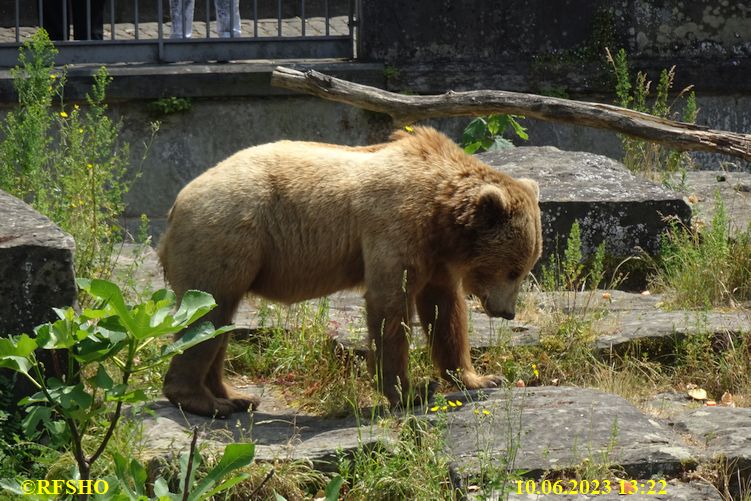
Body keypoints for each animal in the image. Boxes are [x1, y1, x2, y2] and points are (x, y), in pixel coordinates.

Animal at [159, 127, 544, 416]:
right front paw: (410, 391)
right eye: (514, 271)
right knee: (207, 317)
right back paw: (203, 401)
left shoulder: (435, 256)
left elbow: (444, 312)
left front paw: (481, 378)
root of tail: (176, 203)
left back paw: (234, 394)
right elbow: (390, 308)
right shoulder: (395, 228)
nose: (508, 312)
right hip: (226, 237)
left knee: (220, 322)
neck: (441, 214)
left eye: (525, 267)